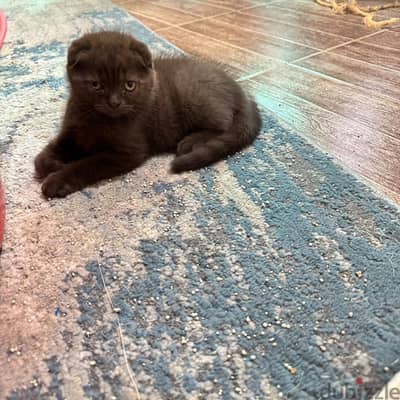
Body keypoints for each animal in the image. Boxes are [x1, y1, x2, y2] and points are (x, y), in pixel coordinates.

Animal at [35, 30, 262, 198]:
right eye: (96, 85)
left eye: (129, 85)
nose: (114, 103)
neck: (97, 120)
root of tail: (241, 91)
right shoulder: (72, 132)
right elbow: (47, 152)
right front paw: (51, 163)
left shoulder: (127, 152)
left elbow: (88, 164)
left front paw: (58, 180)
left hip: (193, 91)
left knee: (223, 124)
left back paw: (190, 141)